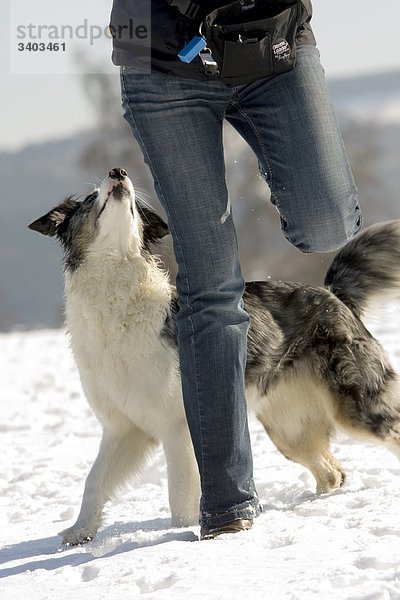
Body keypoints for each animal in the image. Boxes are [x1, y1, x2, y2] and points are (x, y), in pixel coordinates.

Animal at [29, 168, 400, 544]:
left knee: (388, 435)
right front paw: (79, 532)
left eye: (132, 205)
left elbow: (179, 494)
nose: (118, 172)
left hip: (358, 407)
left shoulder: (176, 427)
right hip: (289, 430)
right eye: (91, 199)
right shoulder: (125, 428)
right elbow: (95, 481)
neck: (116, 296)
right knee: (332, 473)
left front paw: (182, 534)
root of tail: (334, 295)